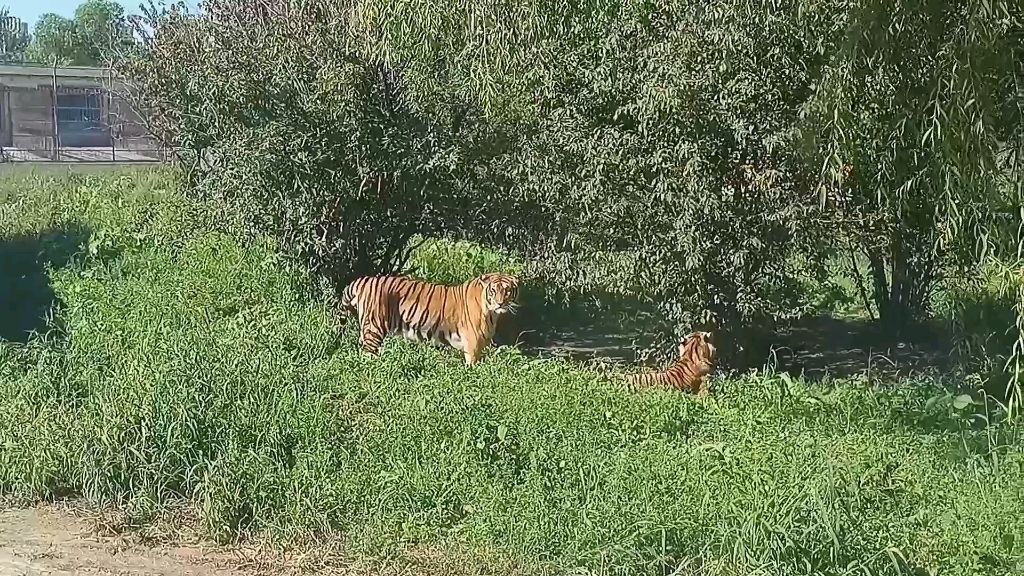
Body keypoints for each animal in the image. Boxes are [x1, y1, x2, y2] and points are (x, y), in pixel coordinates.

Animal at [342, 272, 520, 362]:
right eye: (493, 291)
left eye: (507, 291)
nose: (500, 304)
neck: (491, 313)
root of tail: (363, 280)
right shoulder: (473, 345)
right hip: (374, 328)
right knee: (368, 356)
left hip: (366, 329)